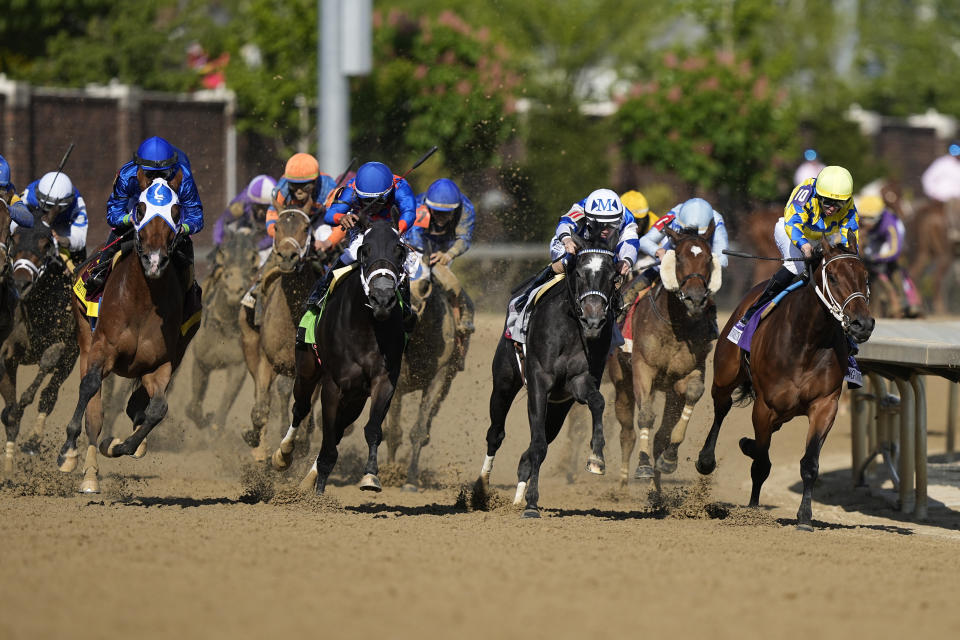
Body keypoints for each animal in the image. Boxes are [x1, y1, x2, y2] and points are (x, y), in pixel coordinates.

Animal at [56, 175, 199, 496]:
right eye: (140, 208)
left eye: (176, 212)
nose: (155, 260)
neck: (142, 303)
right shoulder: (102, 349)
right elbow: (89, 389)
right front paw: (68, 452)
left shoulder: (160, 364)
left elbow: (158, 408)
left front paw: (119, 445)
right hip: (85, 339)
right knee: (94, 412)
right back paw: (89, 476)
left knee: (139, 406)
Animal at [237, 208, 318, 462]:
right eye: (277, 227)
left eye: (306, 228)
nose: (287, 256)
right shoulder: (267, 360)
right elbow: (261, 409)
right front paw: (254, 440)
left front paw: (293, 447)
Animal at [272, 218, 406, 492]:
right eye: (365, 251)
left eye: (400, 252)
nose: (382, 298)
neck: (367, 328)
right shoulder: (332, 385)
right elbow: (326, 439)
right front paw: (318, 491)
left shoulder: (383, 381)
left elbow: (372, 429)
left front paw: (370, 476)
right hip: (307, 369)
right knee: (300, 408)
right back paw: (283, 454)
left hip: (356, 397)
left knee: (339, 429)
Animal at [692, 236, 872, 528]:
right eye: (833, 277)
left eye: (865, 277)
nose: (863, 324)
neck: (807, 340)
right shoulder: (765, 406)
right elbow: (761, 464)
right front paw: (752, 510)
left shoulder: (825, 404)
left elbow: (809, 463)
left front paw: (805, 517)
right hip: (726, 375)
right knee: (722, 407)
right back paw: (707, 460)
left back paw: (746, 444)